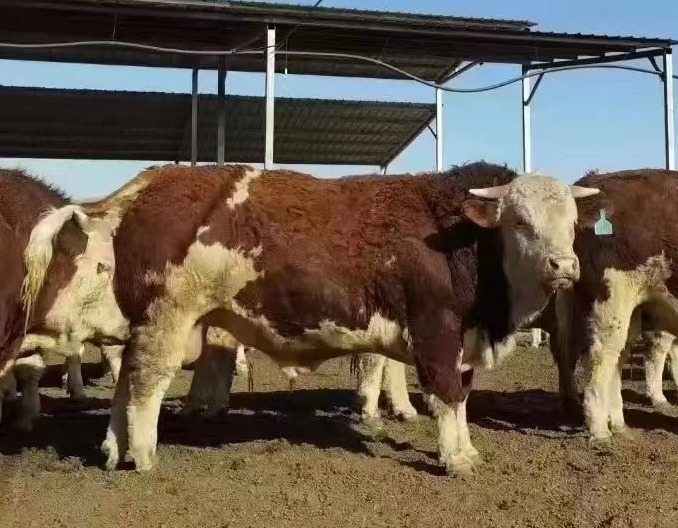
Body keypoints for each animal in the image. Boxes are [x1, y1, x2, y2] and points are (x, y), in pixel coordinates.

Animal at [58, 162, 596, 474]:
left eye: (571, 223)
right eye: (520, 221)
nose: (566, 266)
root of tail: (152, 181)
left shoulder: (465, 340)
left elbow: (461, 398)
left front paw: (465, 451)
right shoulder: (437, 332)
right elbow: (445, 397)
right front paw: (454, 458)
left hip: (148, 323)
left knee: (126, 379)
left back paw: (113, 450)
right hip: (167, 317)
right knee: (146, 381)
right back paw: (143, 455)